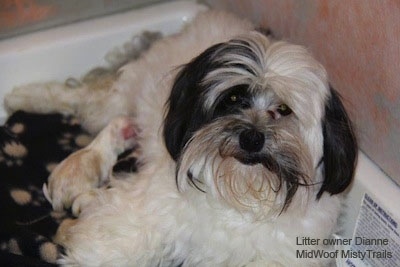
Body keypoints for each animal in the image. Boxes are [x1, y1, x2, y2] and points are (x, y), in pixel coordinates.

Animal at [4, 10, 358, 267]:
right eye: (232, 99)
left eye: (283, 109)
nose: (251, 137)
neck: (240, 197)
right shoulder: (137, 214)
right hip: (116, 99)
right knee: (82, 97)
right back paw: (25, 96)